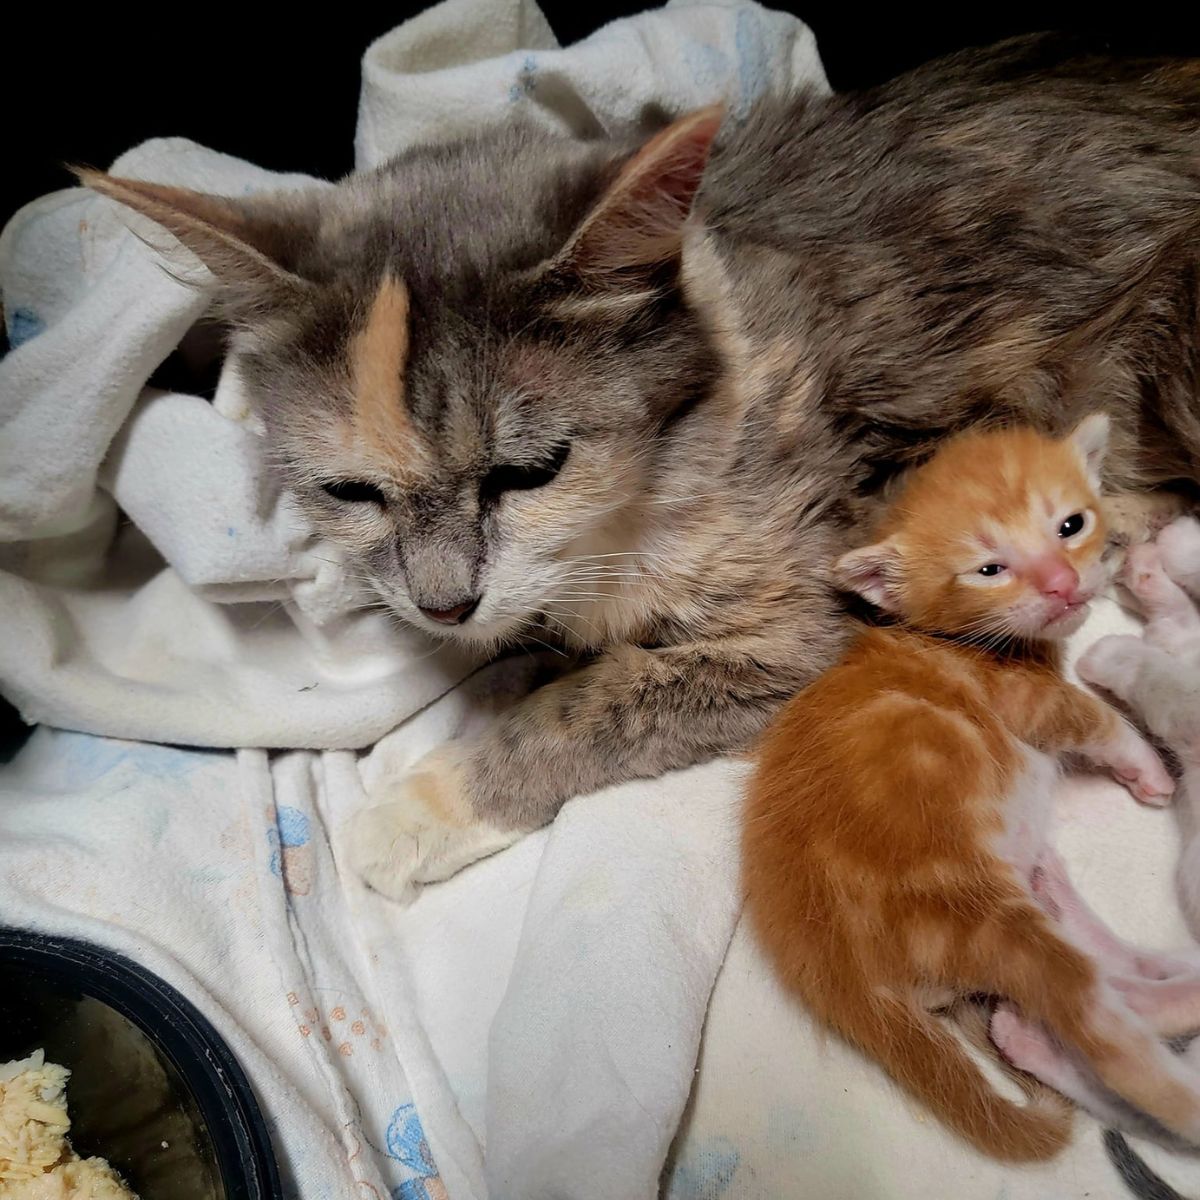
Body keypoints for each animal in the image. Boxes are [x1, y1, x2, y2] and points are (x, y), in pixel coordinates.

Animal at [82, 35, 1200, 902]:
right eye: (349, 491)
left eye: (529, 470)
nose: (443, 607)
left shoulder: (813, 616)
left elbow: (598, 700)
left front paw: (424, 807)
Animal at [744, 420, 1200, 1161]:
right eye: (990, 569)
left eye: (1070, 525)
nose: (1063, 585)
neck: (961, 640)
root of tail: (843, 978)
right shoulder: (1025, 700)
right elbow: (1097, 720)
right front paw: (1146, 767)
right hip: (979, 915)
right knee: (1104, 1025)